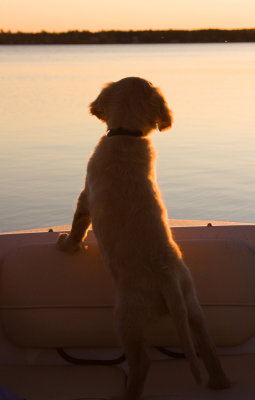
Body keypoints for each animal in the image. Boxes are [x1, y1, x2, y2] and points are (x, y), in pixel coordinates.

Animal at [57, 76, 231, 398]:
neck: (127, 136)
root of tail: (167, 277)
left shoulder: (86, 194)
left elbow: (78, 224)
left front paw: (67, 245)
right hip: (193, 305)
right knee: (209, 349)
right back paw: (219, 383)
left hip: (127, 317)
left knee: (142, 365)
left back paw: (128, 393)